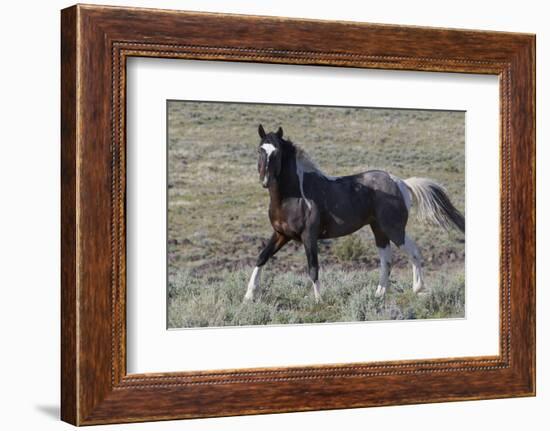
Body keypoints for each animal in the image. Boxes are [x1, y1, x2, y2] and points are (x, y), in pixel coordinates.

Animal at [245, 123, 466, 302]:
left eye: (277, 152)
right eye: (260, 150)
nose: (265, 181)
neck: (294, 196)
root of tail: (400, 182)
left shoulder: (309, 236)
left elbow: (313, 267)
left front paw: (318, 300)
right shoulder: (281, 234)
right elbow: (261, 257)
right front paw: (248, 296)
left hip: (394, 229)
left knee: (413, 252)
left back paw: (417, 289)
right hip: (379, 230)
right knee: (387, 261)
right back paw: (379, 294)